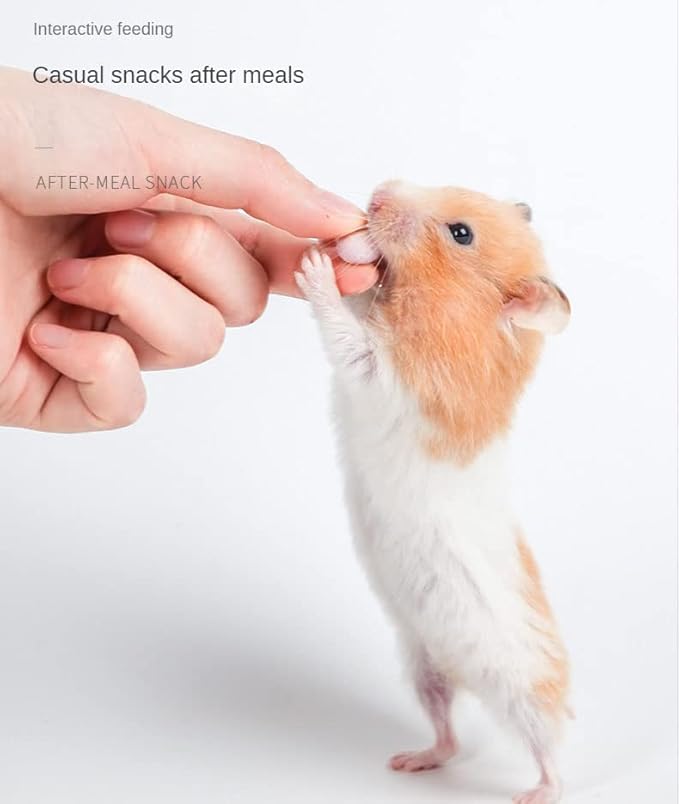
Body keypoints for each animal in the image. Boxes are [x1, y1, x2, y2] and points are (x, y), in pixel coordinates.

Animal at [295, 180, 571, 804]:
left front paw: (316, 267)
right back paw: (411, 761)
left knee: (551, 745)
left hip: (520, 687)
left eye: (461, 233)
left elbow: (349, 337)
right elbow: (357, 309)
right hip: (421, 663)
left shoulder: (388, 372)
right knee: (447, 732)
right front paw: (331, 249)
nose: (378, 193)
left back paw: (536, 792)